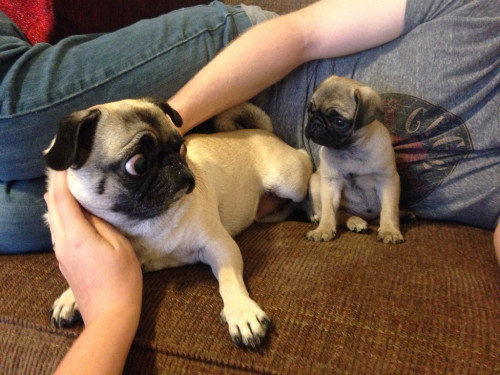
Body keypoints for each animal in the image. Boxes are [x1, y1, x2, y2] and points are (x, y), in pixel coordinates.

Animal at [46, 98, 312, 348]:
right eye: (138, 164)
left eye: (182, 147)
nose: (173, 161)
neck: (147, 221)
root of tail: (262, 130)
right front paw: (70, 297)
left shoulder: (219, 244)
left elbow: (229, 278)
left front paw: (241, 312)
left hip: (288, 181)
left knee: (306, 172)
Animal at [302, 76, 404, 245]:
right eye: (310, 111)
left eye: (339, 122)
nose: (316, 122)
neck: (349, 149)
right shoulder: (330, 183)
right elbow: (329, 211)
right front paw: (323, 230)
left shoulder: (387, 180)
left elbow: (389, 210)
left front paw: (389, 230)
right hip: (315, 183)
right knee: (339, 215)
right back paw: (355, 221)